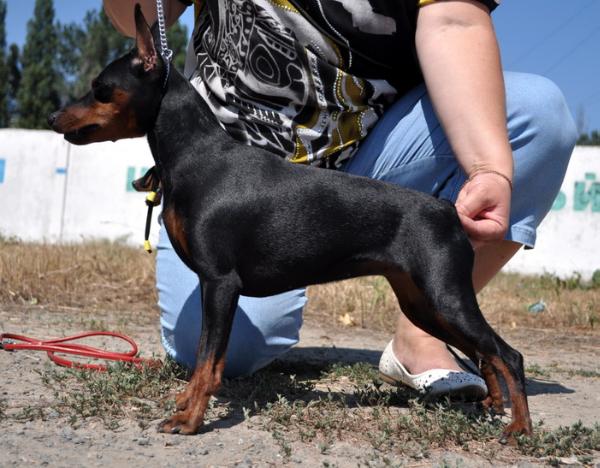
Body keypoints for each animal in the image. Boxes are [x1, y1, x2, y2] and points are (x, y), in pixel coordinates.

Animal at [49, 5, 532, 440]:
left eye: (100, 89)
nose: (54, 116)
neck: (195, 155)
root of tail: (448, 210)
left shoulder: (220, 284)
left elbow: (208, 361)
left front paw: (190, 419)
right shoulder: (215, 288)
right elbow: (206, 358)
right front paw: (186, 404)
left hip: (444, 297)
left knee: (508, 355)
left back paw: (519, 428)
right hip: (424, 303)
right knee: (485, 353)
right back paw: (493, 406)